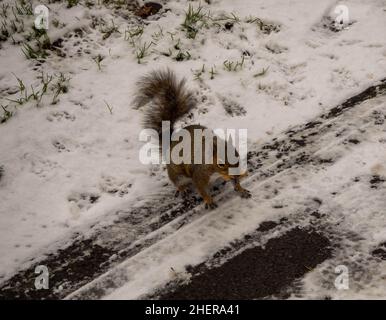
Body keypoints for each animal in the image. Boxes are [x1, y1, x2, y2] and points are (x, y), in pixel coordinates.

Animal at [134, 69, 252, 210]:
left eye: (237, 155)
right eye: (220, 164)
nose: (236, 174)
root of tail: (170, 142)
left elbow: (235, 183)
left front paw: (241, 189)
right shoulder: (199, 174)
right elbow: (201, 189)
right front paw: (209, 201)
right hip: (177, 174)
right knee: (177, 181)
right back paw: (182, 188)